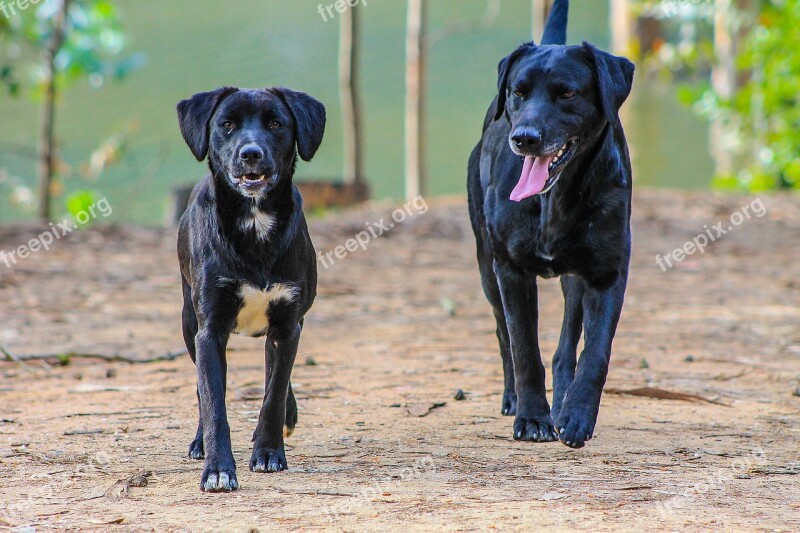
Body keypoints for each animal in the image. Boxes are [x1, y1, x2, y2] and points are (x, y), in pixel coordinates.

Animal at [176, 85, 324, 488]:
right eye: (227, 124)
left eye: (276, 123)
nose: (251, 153)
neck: (254, 222)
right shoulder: (209, 330)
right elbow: (214, 403)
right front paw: (218, 469)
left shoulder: (287, 323)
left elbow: (273, 393)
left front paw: (269, 451)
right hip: (188, 322)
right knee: (203, 390)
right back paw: (200, 442)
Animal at [466, 0, 636, 446]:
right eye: (518, 92)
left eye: (567, 93)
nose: (524, 137)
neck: (552, 201)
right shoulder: (509, 270)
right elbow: (524, 348)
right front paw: (531, 419)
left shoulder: (607, 274)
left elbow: (594, 353)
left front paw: (576, 416)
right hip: (485, 265)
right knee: (503, 335)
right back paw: (514, 399)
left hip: (574, 278)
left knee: (564, 350)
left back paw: (561, 405)